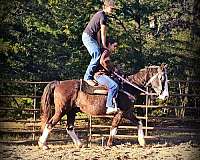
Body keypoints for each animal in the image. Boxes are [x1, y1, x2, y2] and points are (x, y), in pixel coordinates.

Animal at [38, 64, 169, 149]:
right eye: (162, 78)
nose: (166, 96)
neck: (128, 87)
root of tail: (59, 83)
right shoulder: (121, 113)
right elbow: (114, 127)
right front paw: (109, 144)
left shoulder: (128, 112)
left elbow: (139, 122)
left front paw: (142, 142)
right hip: (61, 110)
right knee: (50, 124)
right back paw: (43, 144)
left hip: (71, 111)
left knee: (69, 127)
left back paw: (80, 144)